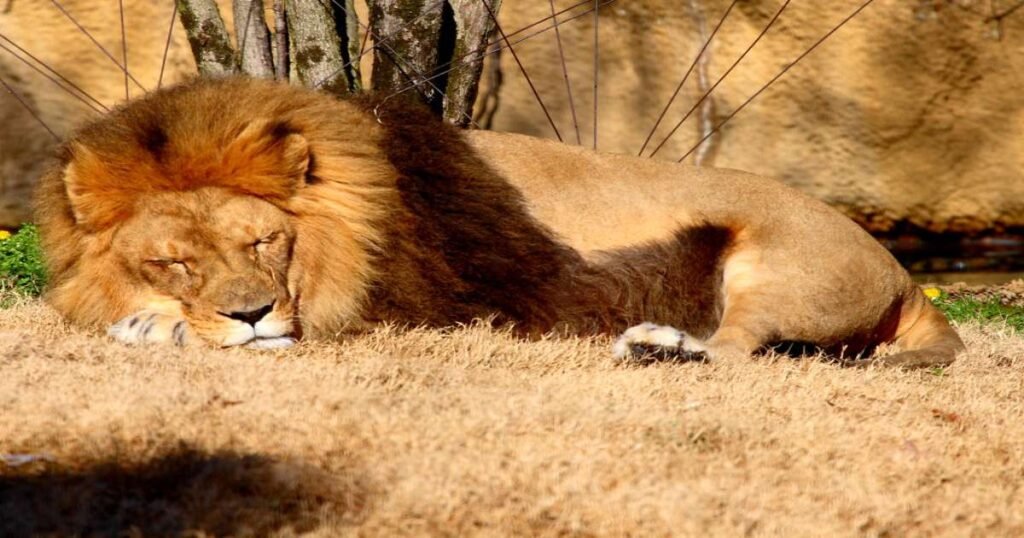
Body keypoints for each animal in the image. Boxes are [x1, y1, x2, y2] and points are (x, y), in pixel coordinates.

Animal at [36, 75, 966, 366]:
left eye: (265, 241)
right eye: (173, 261)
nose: (252, 312)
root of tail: (905, 276)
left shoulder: (428, 307)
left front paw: (155, 330)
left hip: (775, 266)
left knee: (739, 353)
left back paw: (659, 348)